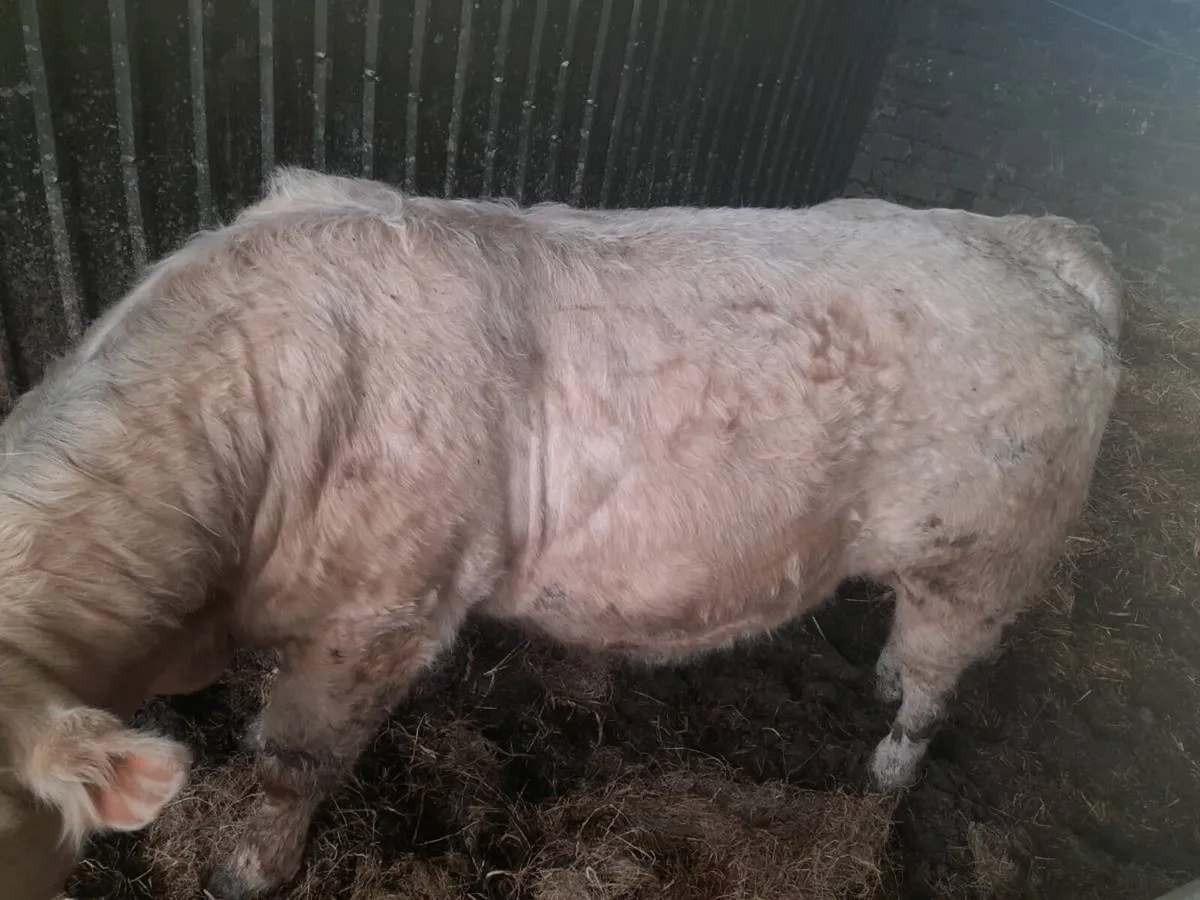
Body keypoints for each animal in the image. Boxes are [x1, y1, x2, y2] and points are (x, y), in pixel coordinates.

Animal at [0, 168, 1123, 899]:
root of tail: (1038, 242)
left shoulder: (382, 615)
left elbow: (293, 760)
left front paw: (247, 871)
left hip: (982, 557)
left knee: (935, 692)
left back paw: (886, 773)